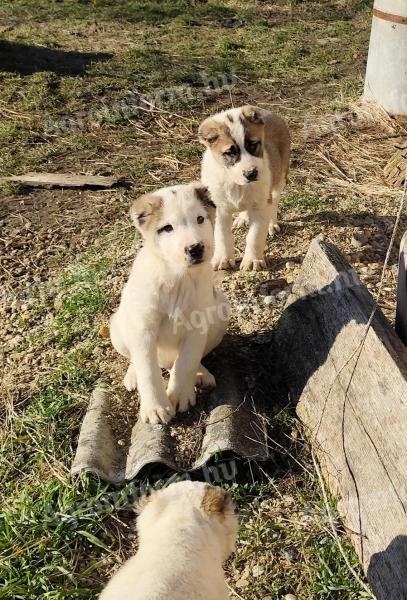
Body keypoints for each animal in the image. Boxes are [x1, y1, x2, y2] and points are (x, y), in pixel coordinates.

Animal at [110, 182, 231, 422]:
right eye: (167, 228)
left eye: (200, 219)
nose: (195, 248)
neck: (178, 277)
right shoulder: (143, 329)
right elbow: (148, 370)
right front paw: (155, 407)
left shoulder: (197, 327)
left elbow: (185, 362)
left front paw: (180, 394)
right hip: (118, 327)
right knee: (136, 359)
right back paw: (132, 375)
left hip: (220, 314)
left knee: (183, 361)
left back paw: (201, 373)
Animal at [200, 104, 290, 270]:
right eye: (229, 152)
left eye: (253, 145)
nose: (251, 173)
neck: (235, 183)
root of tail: (269, 112)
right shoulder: (219, 209)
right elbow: (222, 236)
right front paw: (223, 258)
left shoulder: (260, 206)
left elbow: (255, 236)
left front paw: (252, 260)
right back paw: (242, 217)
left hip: (280, 178)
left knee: (274, 202)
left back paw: (271, 224)